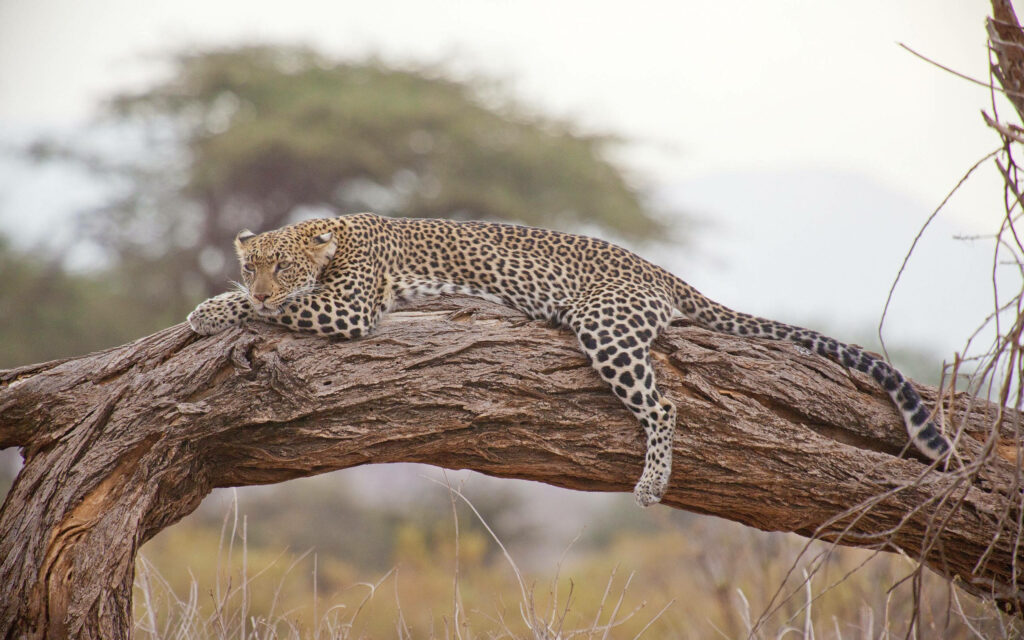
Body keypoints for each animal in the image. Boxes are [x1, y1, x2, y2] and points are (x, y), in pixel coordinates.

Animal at [187, 213, 952, 506]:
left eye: (282, 268)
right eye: (255, 263)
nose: (260, 281)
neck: (335, 236)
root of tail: (660, 272)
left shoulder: (348, 306)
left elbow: (271, 312)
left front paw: (214, 311)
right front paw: (212, 304)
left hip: (604, 326)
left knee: (664, 402)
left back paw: (651, 483)